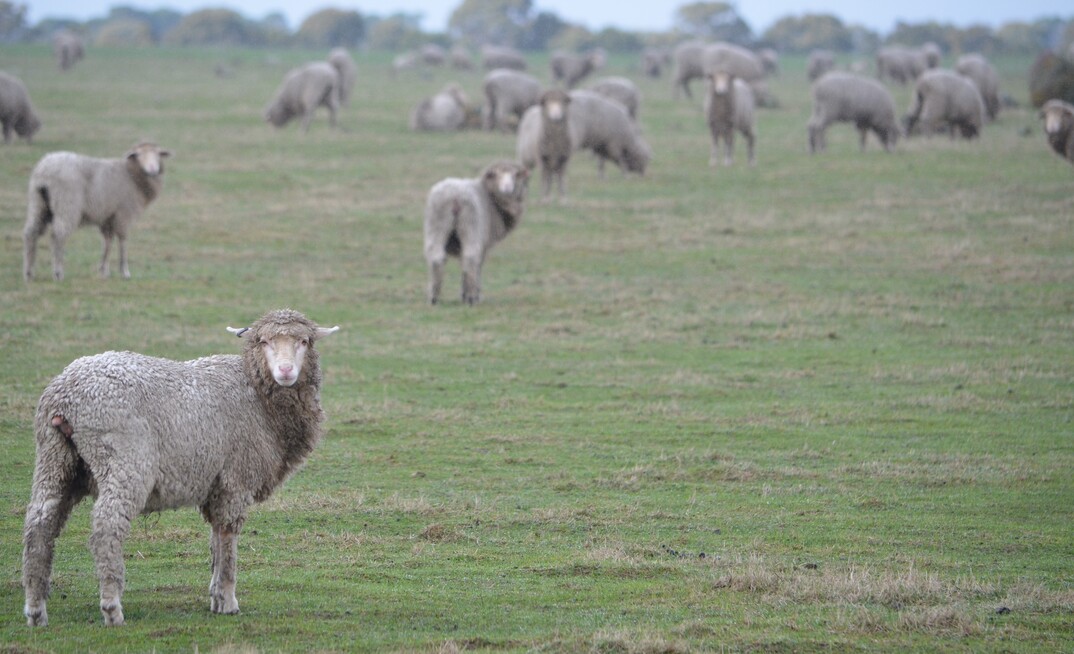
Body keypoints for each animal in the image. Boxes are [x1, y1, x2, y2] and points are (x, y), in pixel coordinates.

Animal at [22, 309, 339, 627]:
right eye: (263, 341)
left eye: (304, 341)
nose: (285, 370)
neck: (259, 397)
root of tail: (66, 394)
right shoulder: (236, 479)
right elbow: (227, 539)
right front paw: (228, 600)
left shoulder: (216, 485)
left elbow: (215, 542)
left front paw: (215, 597)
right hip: (123, 460)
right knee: (106, 525)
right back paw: (112, 608)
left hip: (55, 458)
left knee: (40, 524)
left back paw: (36, 610)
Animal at [23, 142, 171, 282]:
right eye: (139, 154)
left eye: (158, 154)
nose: (153, 169)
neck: (132, 176)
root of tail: (45, 169)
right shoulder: (123, 214)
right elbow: (122, 241)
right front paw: (124, 272)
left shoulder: (107, 218)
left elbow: (107, 243)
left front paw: (104, 271)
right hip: (67, 204)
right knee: (58, 235)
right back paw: (58, 273)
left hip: (38, 203)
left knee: (31, 233)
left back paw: (29, 273)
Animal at [424, 161, 529, 305]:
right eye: (497, 175)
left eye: (514, 175)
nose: (507, 188)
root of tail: (455, 196)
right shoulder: (483, 245)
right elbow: (477, 265)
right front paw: (473, 294)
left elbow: (463, 267)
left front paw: (463, 293)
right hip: (471, 226)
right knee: (471, 257)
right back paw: (472, 298)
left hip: (436, 224)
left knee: (436, 257)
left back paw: (434, 297)